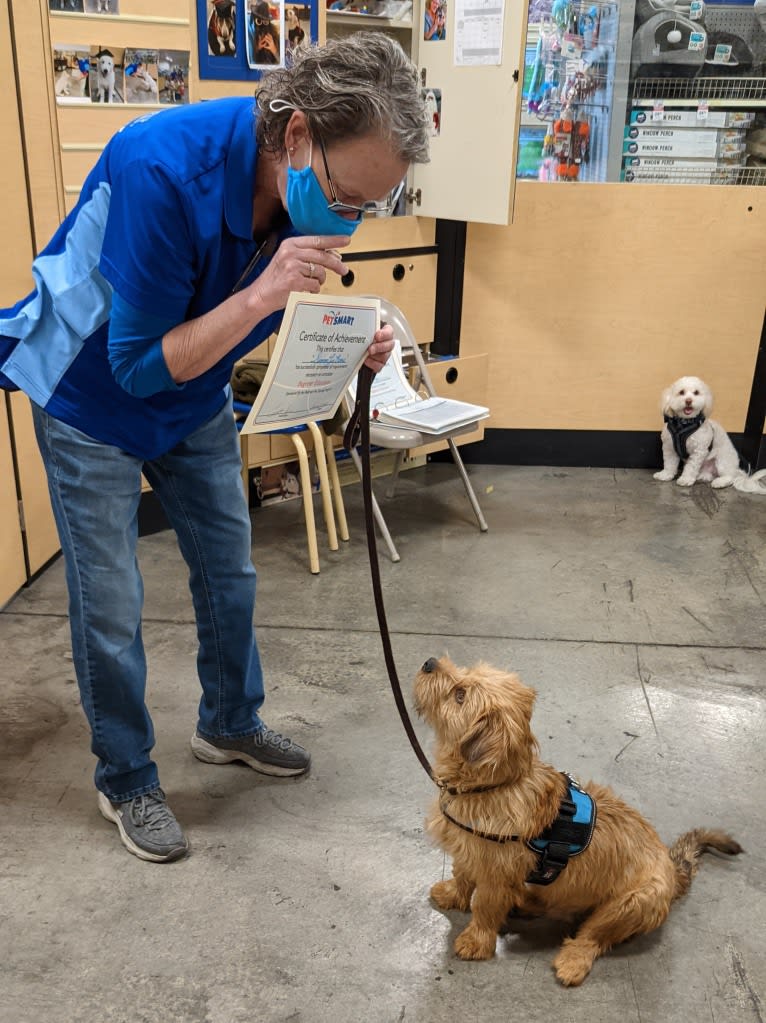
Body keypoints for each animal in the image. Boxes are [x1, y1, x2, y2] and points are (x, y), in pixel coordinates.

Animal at [413, 658, 740, 986]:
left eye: (460, 695)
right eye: (465, 673)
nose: (429, 662)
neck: (494, 784)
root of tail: (673, 872)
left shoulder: (496, 875)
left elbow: (485, 906)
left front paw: (476, 941)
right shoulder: (468, 852)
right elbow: (462, 877)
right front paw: (452, 895)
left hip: (630, 904)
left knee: (593, 936)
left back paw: (573, 961)